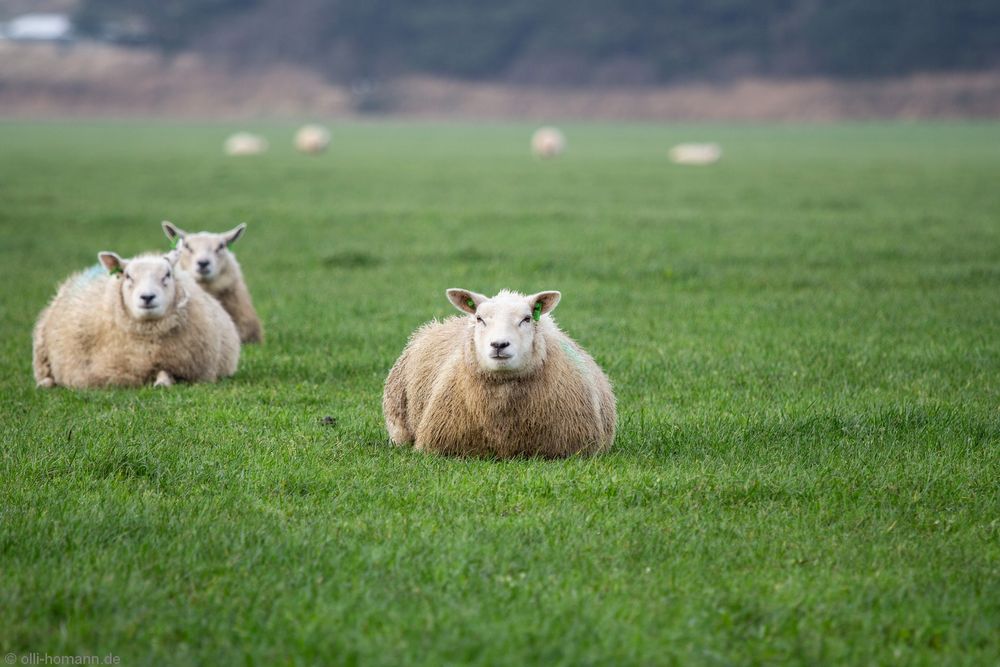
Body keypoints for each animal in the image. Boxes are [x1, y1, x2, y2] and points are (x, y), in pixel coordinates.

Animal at [33, 250, 240, 388]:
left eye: (167, 274)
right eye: (128, 276)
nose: (147, 297)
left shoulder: (180, 366)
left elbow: (165, 374)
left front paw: (162, 382)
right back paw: (45, 384)